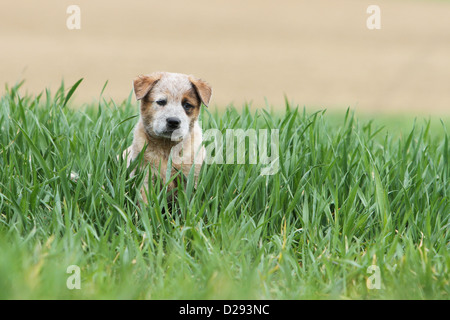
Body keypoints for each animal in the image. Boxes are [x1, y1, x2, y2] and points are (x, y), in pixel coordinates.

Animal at [122, 72, 212, 202]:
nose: (173, 121)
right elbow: (144, 199)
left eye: (187, 105)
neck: (167, 147)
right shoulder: (144, 174)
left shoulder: (190, 176)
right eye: (161, 102)